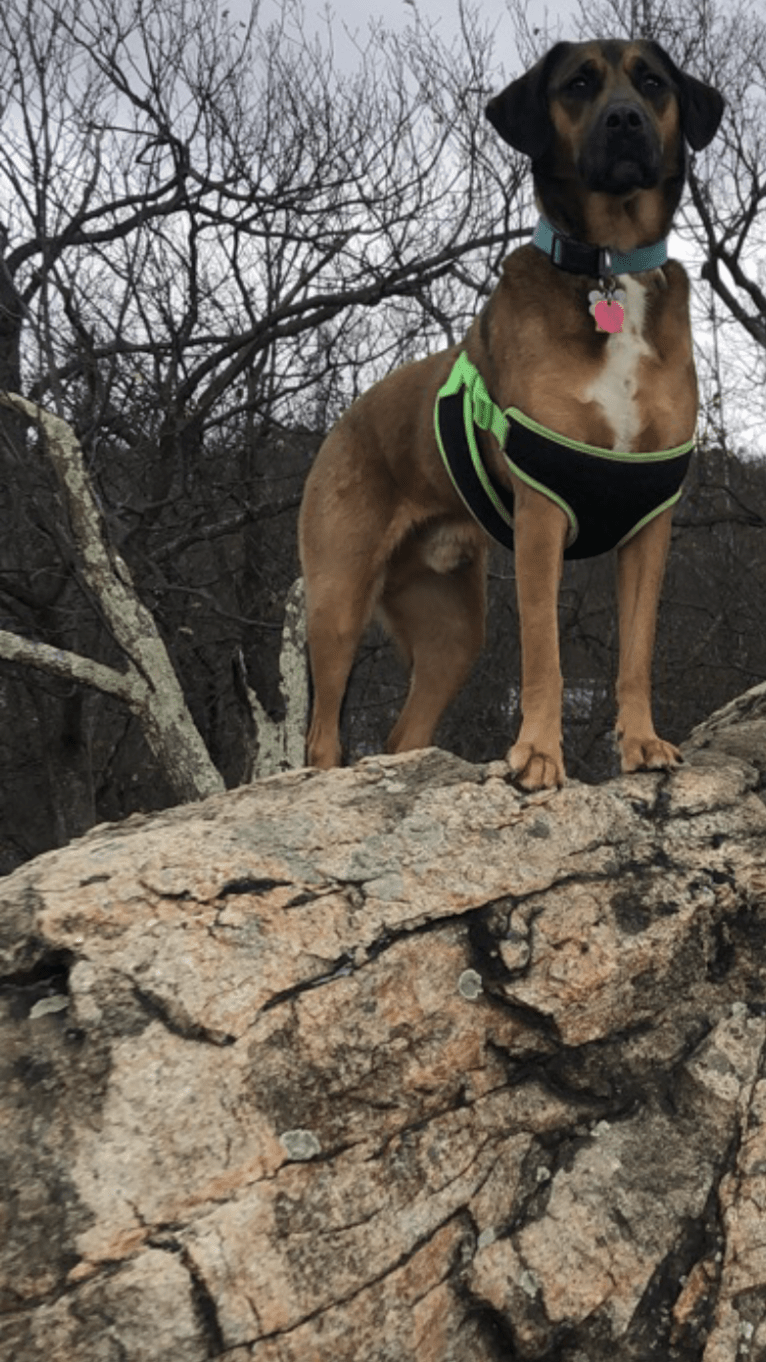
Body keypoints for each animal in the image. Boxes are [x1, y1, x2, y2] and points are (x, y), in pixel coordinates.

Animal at [297, 39, 719, 789]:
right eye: (578, 83)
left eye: (652, 82)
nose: (626, 122)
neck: (607, 268)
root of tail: (344, 421)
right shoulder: (541, 519)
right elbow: (544, 654)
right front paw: (539, 755)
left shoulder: (650, 520)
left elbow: (637, 649)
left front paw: (641, 742)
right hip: (337, 599)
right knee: (323, 739)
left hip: (451, 629)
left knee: (404, 735)